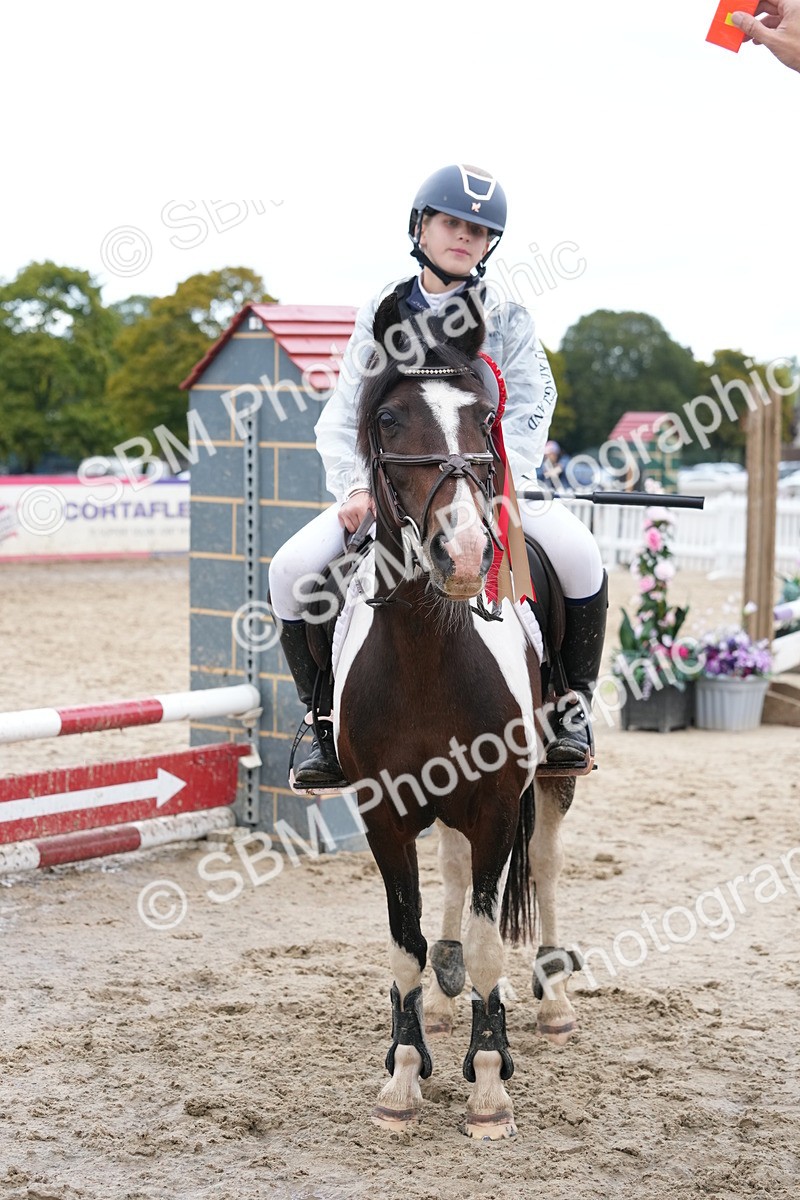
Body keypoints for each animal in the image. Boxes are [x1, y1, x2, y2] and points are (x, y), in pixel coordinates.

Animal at [329, 292, 581, 1140]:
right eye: (388, 418)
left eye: (484, 417)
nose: (465, 553)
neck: (425, 649)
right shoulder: (382, 810)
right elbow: (404, 944)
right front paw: (404, 1074)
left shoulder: (499, 802)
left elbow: (488, 945)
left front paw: (489, 1084)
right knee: (449, 879)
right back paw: (440, 1004)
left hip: (549, 785)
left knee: (543, 867)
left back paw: (554, 999)